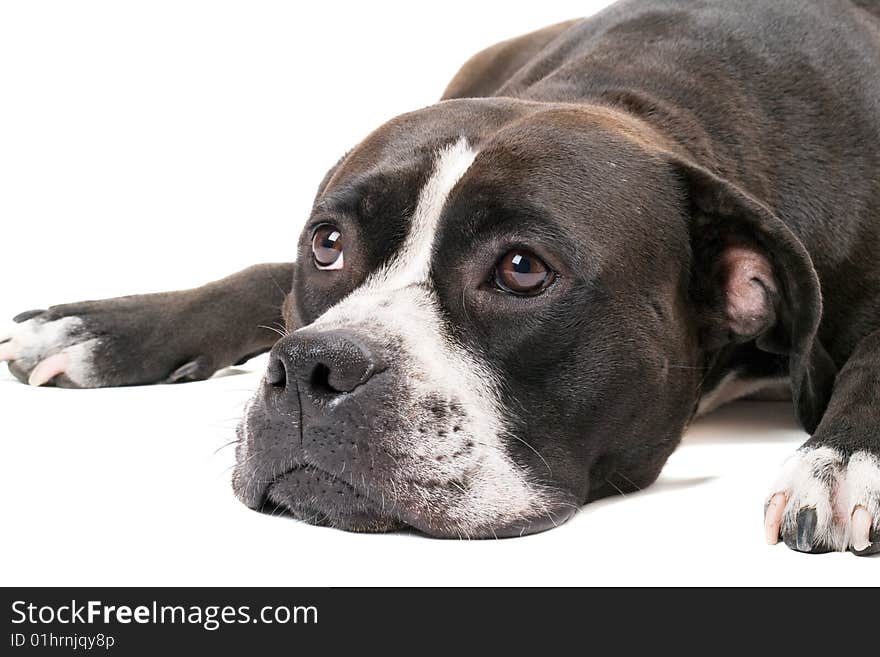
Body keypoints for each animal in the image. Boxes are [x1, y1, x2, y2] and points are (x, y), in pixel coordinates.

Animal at [1, 0, 880, 552]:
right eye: (326, 244)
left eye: (522, 269)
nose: (311, 366)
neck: (661, 98)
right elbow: (265, 274)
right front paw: (106, 324)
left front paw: (840, 461)